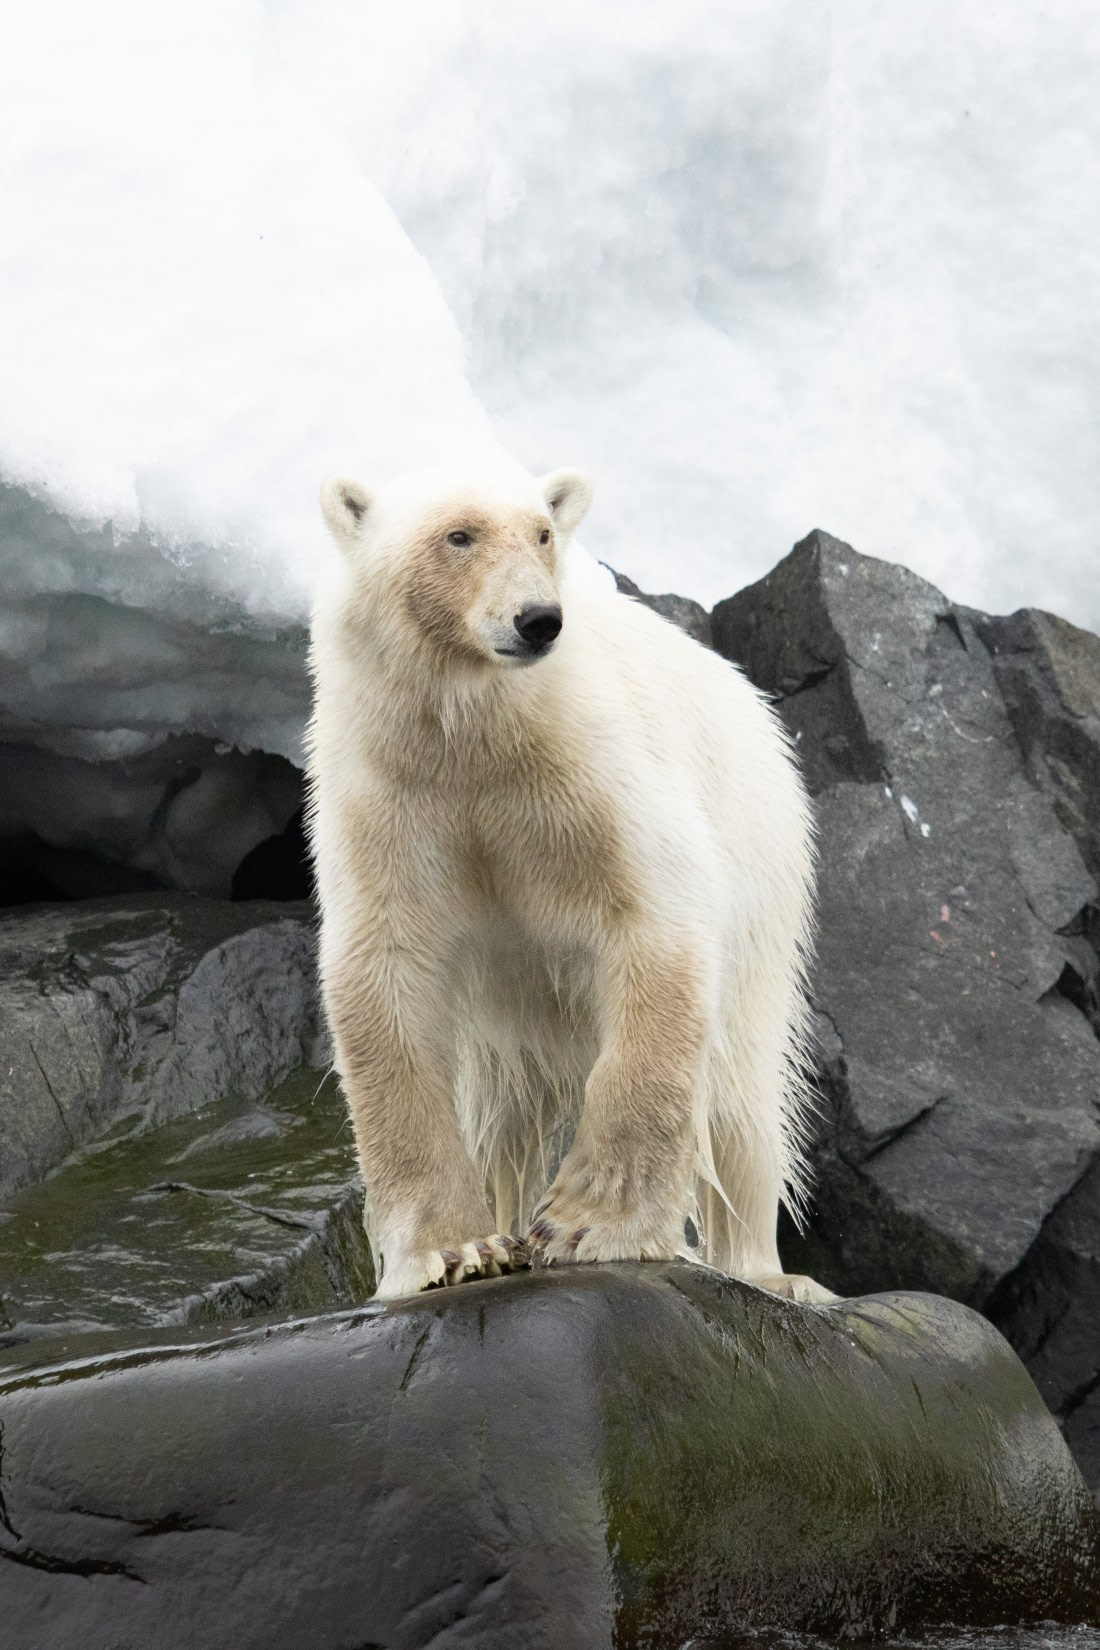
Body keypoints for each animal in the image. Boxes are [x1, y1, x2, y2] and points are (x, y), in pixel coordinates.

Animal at [308, 464, 830, 1303]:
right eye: (459, 535)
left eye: (543, 533)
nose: (538, 620)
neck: (478, 732)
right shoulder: (393, 795)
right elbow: (385, 972)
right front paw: (455, 1250)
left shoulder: (592, 777)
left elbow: (656, 917)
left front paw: (589, 1225)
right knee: (502, 1112)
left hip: (766, 871)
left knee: (743, 1094)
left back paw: (764, 1271)